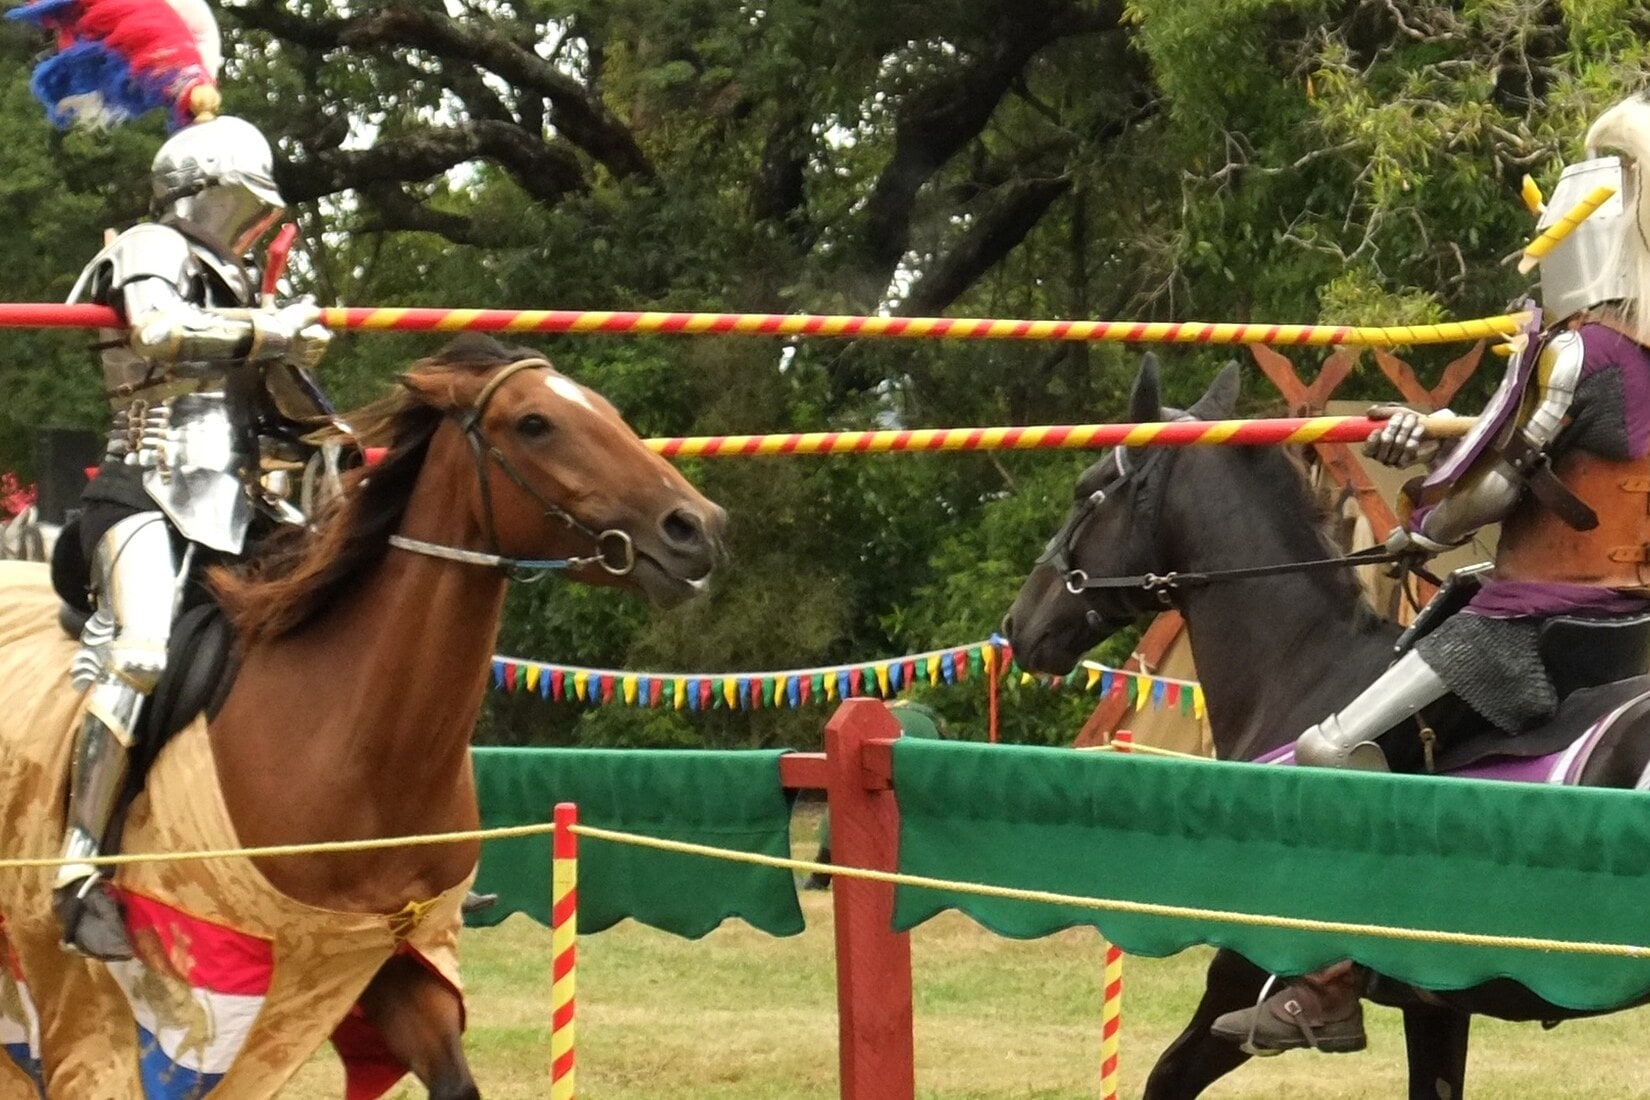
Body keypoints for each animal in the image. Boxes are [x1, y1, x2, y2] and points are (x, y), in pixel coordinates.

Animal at [1002, 356, 1650, 1100]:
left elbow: (1167, 1077)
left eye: (1089, 492)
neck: (1303, 666)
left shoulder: (1242, 972)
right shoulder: (1435, 1005)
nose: (1022, 625)